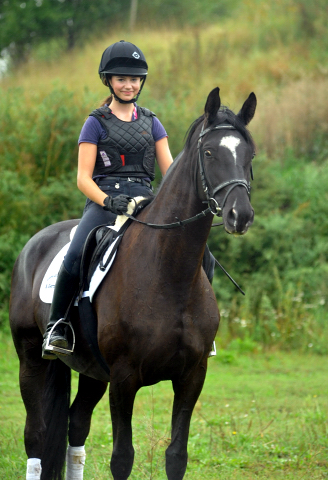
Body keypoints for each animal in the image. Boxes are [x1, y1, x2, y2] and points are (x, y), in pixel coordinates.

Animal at [9, 87, 256, 480]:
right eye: (209, 152)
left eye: (249, 154)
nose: (240, 215)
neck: (169, 274)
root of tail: (36, 242)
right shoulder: (125, 379)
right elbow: (122, 458)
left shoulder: (191, 377)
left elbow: (176, 456)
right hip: (31, 356)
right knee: (36, 434)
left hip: (92, 371)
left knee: (76, 425)